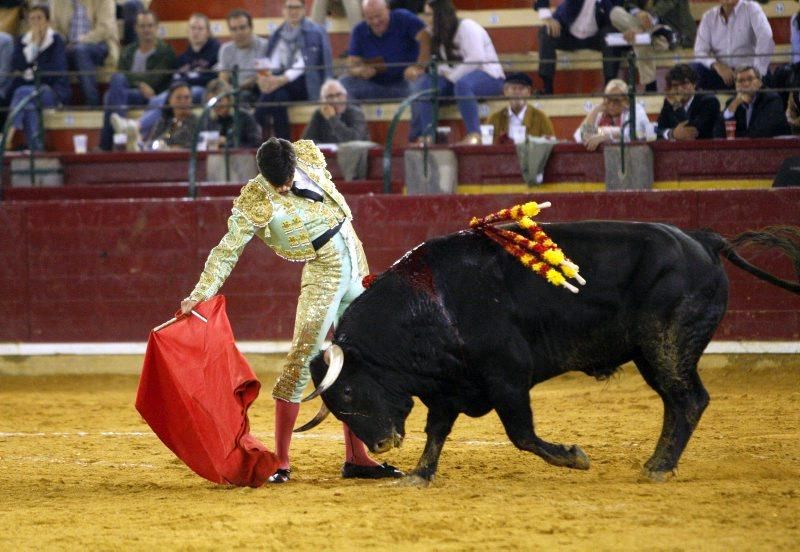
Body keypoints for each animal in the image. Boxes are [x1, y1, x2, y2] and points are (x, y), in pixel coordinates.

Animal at [302, 221, 800, 484]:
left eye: (348, 394)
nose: (381, 445)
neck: (430, 303)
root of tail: (705, 242)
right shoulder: (449, 385)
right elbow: (437, 431)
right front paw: (420, 475)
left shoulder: (506, 377)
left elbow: (521, 434)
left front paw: (573, 457)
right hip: (652, 355)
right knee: (675, 403)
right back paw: (656, 462)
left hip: (667, 346)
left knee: (690, 400)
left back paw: (659, 467)